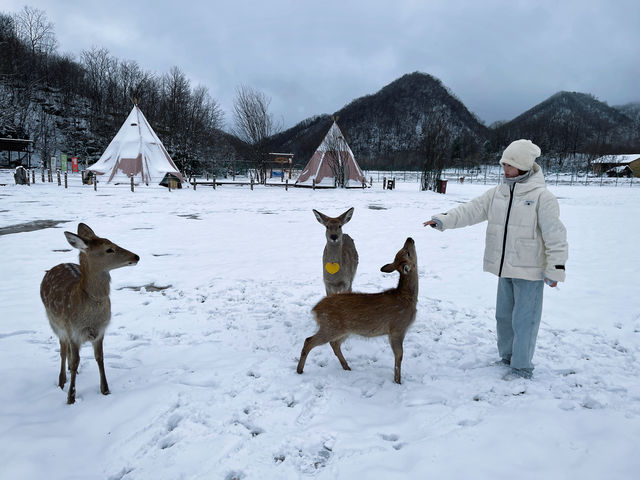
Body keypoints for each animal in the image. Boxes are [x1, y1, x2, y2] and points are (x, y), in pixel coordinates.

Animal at [41, 223, 140, 404]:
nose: (136, 256)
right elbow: (75, 361)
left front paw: (105, 390)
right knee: (63, 349)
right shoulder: (73, 330)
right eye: (109, 249)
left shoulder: (101, 330)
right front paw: (70, 398)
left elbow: (99, 358)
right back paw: (61, 381)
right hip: (55, 324)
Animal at [296, 238, 418, 384]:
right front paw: (398, 381)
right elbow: (399, 355)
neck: (407, 298)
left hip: (343, 330)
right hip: (330, 326)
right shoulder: (397, 328)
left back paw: (347, 367)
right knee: (309, 341)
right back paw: (299, 370)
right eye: (407, 252)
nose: (410, 239)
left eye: (402, 252)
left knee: (334, 344)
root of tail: (315, 310)